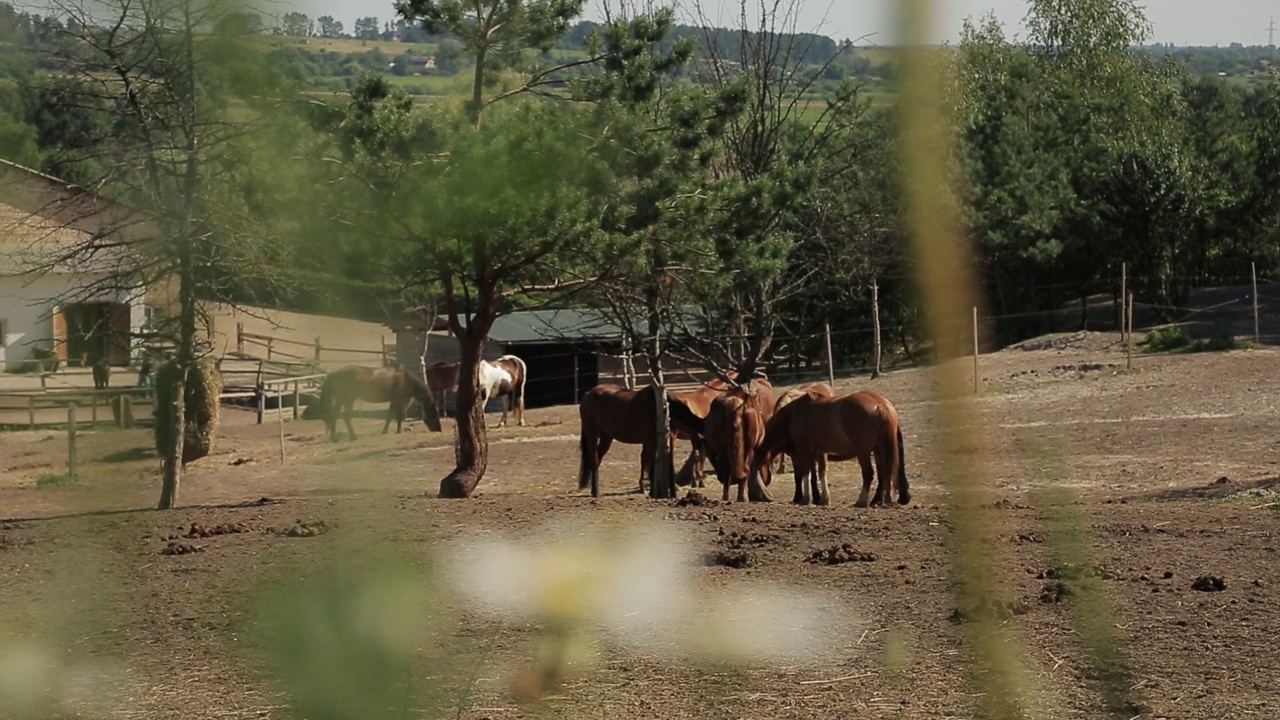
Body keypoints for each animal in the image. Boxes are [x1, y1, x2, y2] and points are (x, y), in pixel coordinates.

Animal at [583, 384, 711, 497]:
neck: (663, 411)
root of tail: (588, 394)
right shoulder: (653, 442)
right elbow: (652, 467)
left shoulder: (667, 440)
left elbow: (667, 465)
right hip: (592, 433)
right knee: (594, 460)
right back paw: (596, 492)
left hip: (606, 436)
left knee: (598, 459)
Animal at [747, 386, 911, 504]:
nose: (753, 495)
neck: (793, 414)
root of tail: (881, 404)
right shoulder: (818, 452)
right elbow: (819, 473)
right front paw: (822, 499)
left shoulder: (802, 450)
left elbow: (804, 473)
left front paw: (805, 499)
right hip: (879, 449)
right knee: (886, 473)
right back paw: (881, 500)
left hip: (864, 452)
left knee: (869, 473)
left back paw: (862, 501)